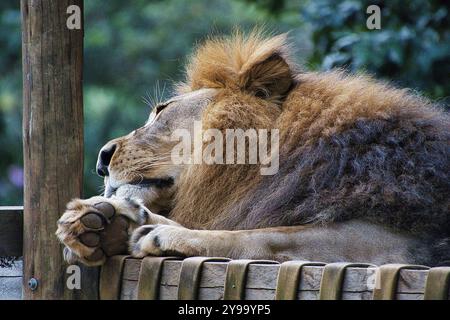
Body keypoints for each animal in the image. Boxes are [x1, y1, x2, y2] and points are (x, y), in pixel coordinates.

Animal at [56, 31, 450, 268]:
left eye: (162, 111)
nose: (101, 160)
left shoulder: (391, 241)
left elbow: (262, 234)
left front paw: (164, 234)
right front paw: (110, 220)